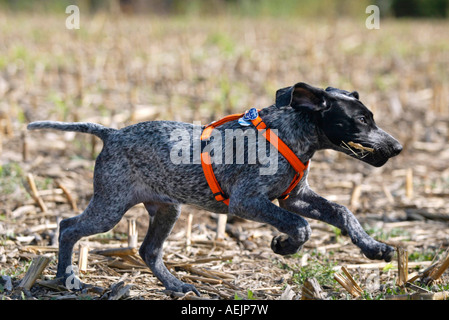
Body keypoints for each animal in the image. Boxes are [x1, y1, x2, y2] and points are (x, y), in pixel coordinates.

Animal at [28, 82, 402, 296]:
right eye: (361, 120)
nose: (397, 147)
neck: (290, 134)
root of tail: (111, 133)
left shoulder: (293, 198)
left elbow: (343, 212)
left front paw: (374, 248)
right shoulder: (247, 201)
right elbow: (302, 227)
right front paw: (284, 245)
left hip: (166, 208)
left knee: (149, 251)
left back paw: (177, 286)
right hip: (110, 207)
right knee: (67, 227)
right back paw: (65, 279)